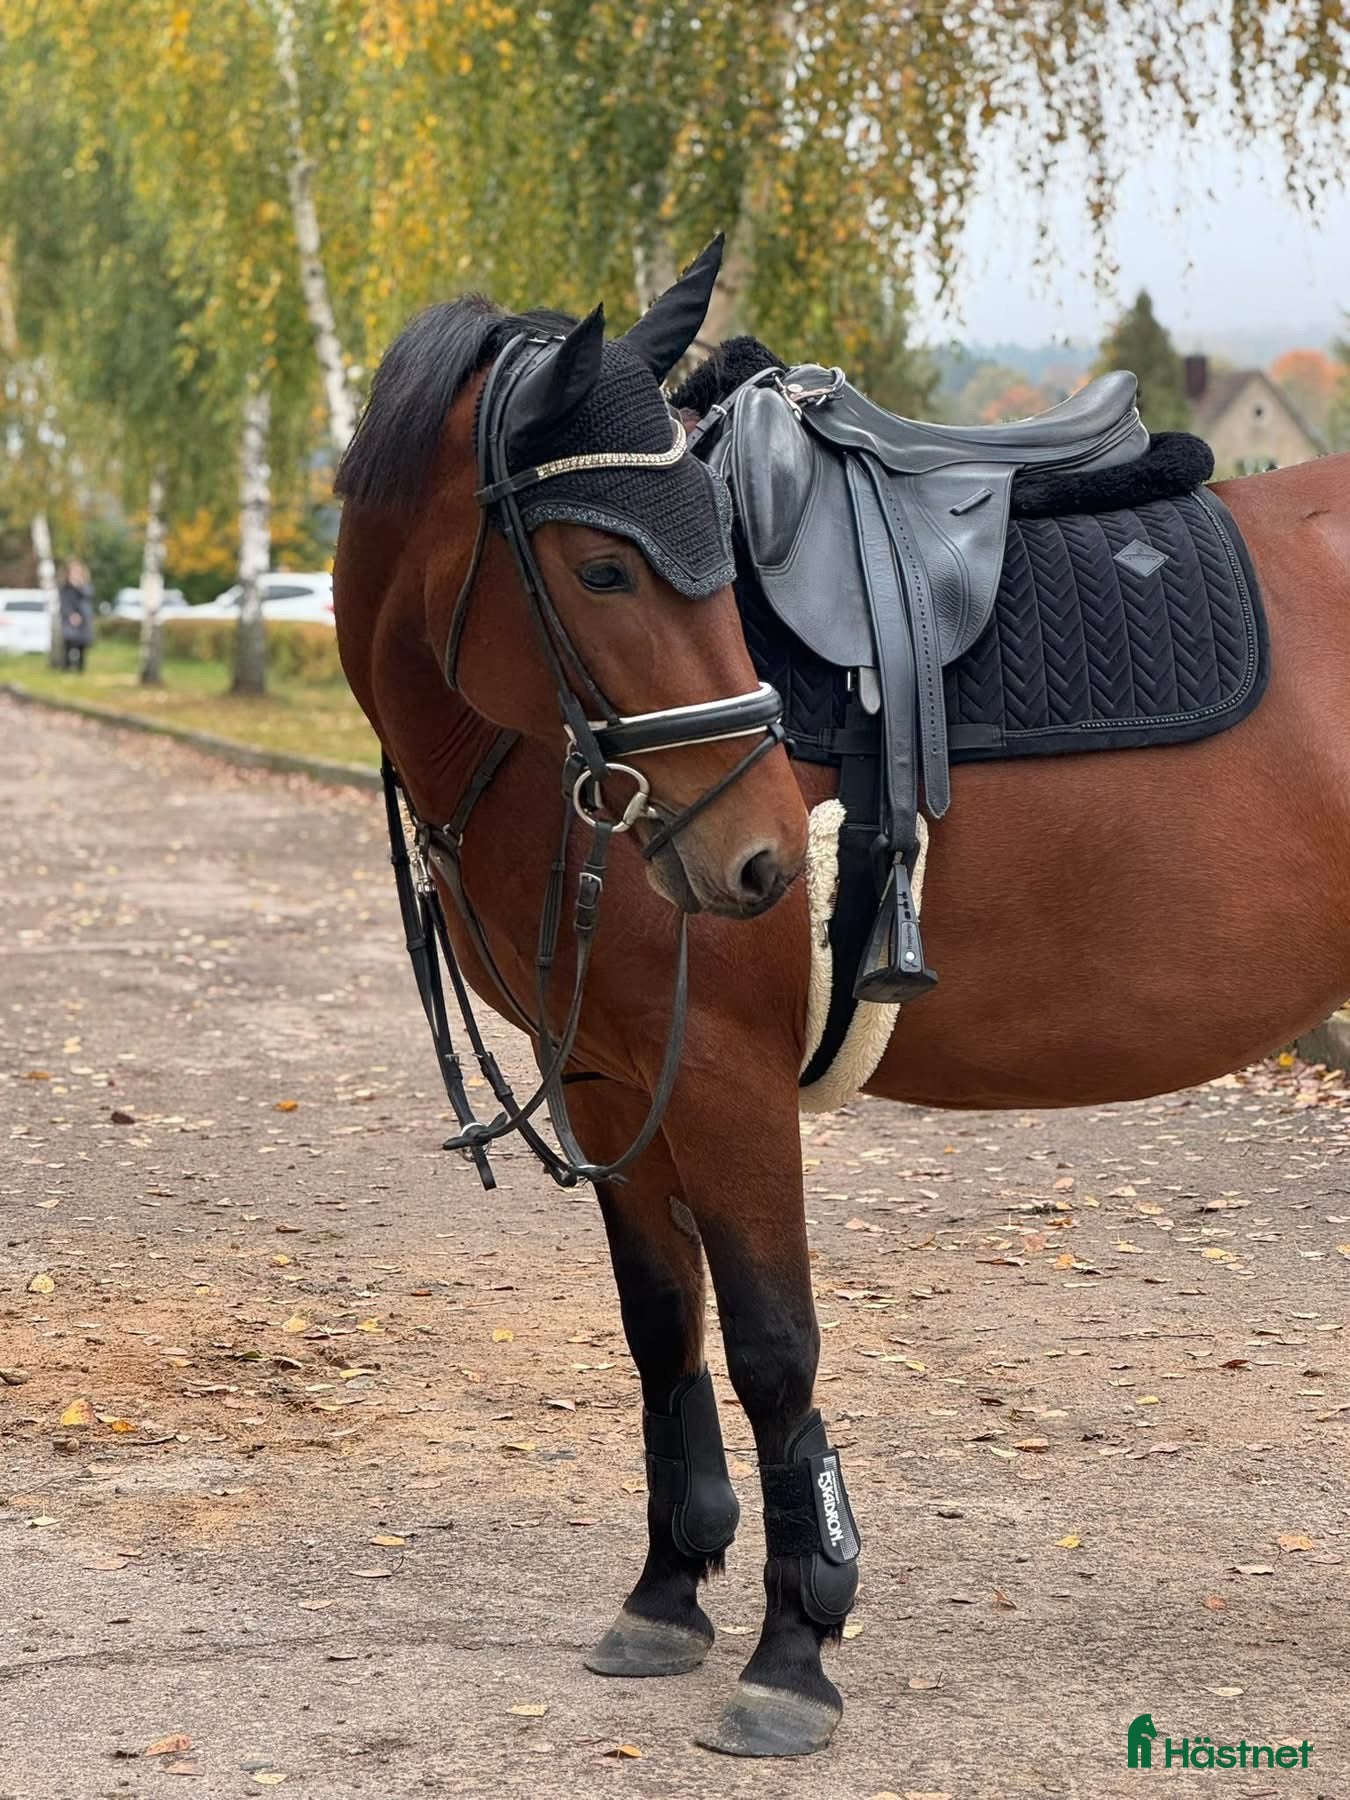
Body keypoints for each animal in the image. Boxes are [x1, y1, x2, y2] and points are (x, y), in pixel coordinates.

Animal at [332, 243, 1350, 1759]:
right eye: (602, 563)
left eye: (705, 549)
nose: (759, 859)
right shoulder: (609, 1079)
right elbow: (661, 1329)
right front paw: (666, 1591)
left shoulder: (723, 1077)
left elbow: (772, 1349)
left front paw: (795, 1648)